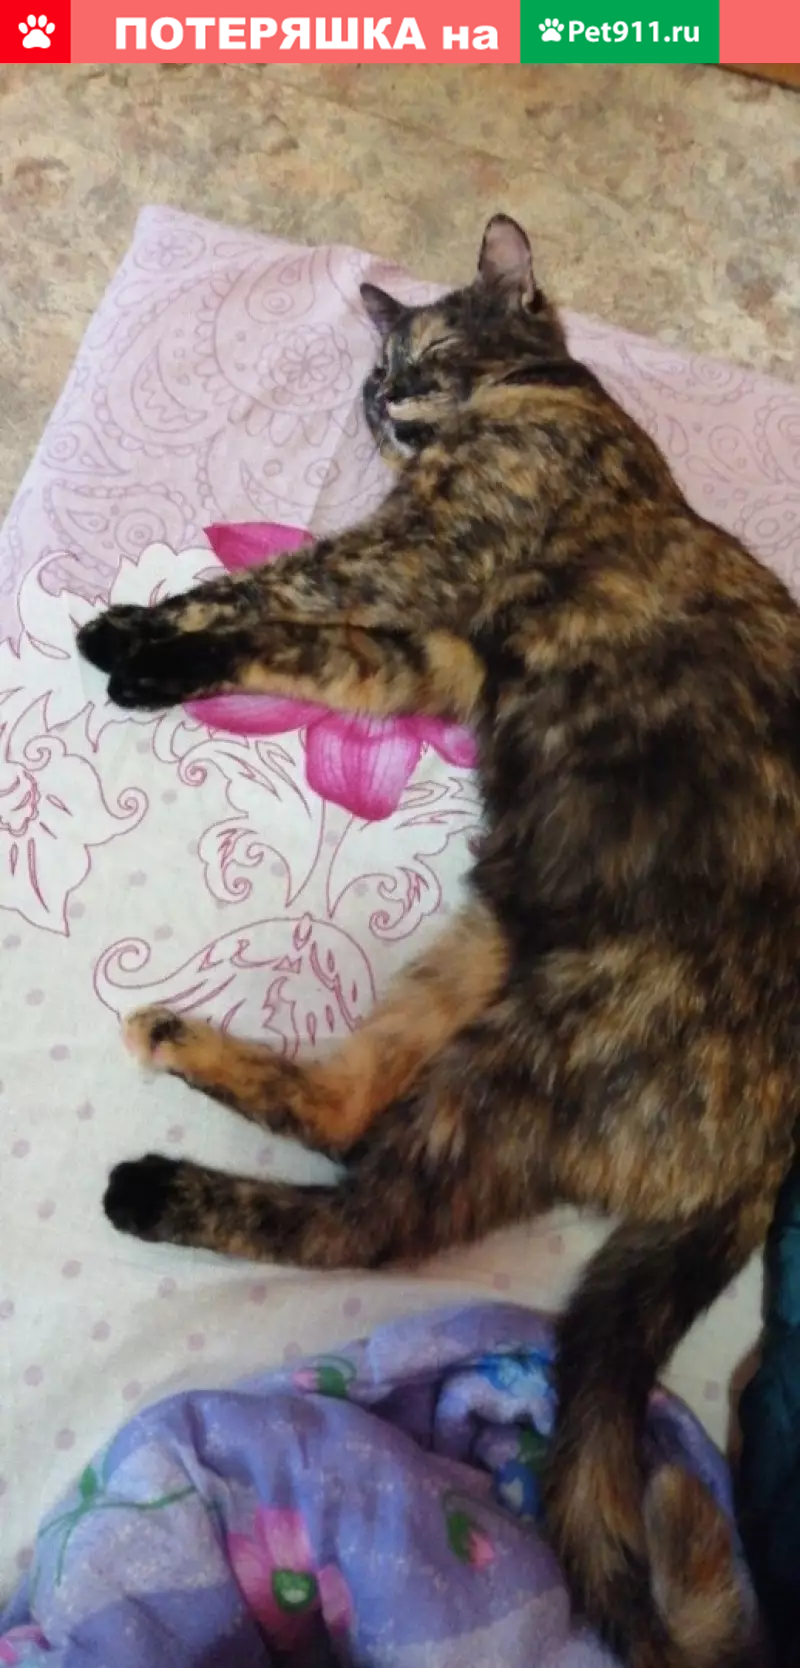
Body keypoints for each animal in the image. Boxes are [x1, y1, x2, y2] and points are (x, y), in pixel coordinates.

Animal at [76, 214, 787, 1668]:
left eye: (430, 347)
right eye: (373, 372)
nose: (386, 403)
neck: (534, 395)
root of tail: (764, 1157)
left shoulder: (414, 558)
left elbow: (261, 585)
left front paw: (130, 631)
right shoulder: (433, 650)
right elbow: (295, 643)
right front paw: (154, 662)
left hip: (538, 1045)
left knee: (374, 1221)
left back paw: (154, 1188)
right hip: (480, 943)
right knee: (350, 1111)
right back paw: (173, 1038)